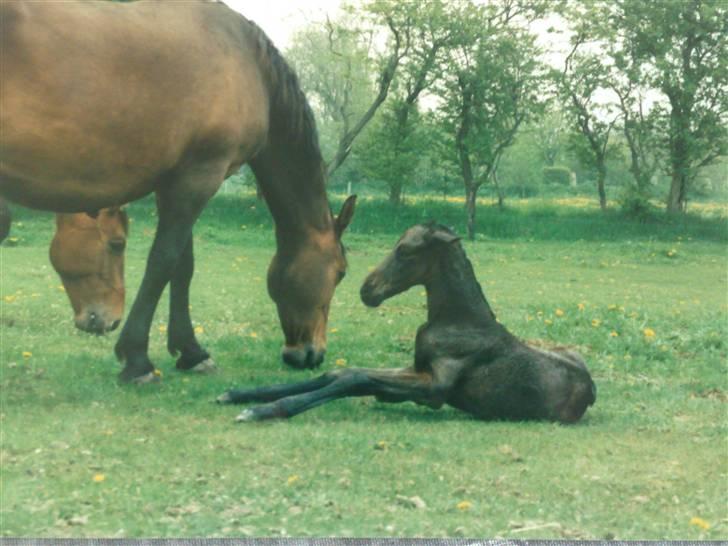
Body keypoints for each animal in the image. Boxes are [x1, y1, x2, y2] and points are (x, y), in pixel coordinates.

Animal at [2, 2, 356, 380]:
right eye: (341, 273)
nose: (311, 354)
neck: (250, 66)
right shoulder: (199, 177)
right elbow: (164, 261)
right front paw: (137, 359)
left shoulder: (175, 180)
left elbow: (183, 266)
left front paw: (190, 351)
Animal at [218, 223, 596, 422]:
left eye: (405, 251)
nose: (367, 289)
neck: (459, 321)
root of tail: (591, 390)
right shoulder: (415, 369)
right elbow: (340, 374)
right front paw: (237, 394)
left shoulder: (433, 387)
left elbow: (354, 379)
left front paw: (263, 409)